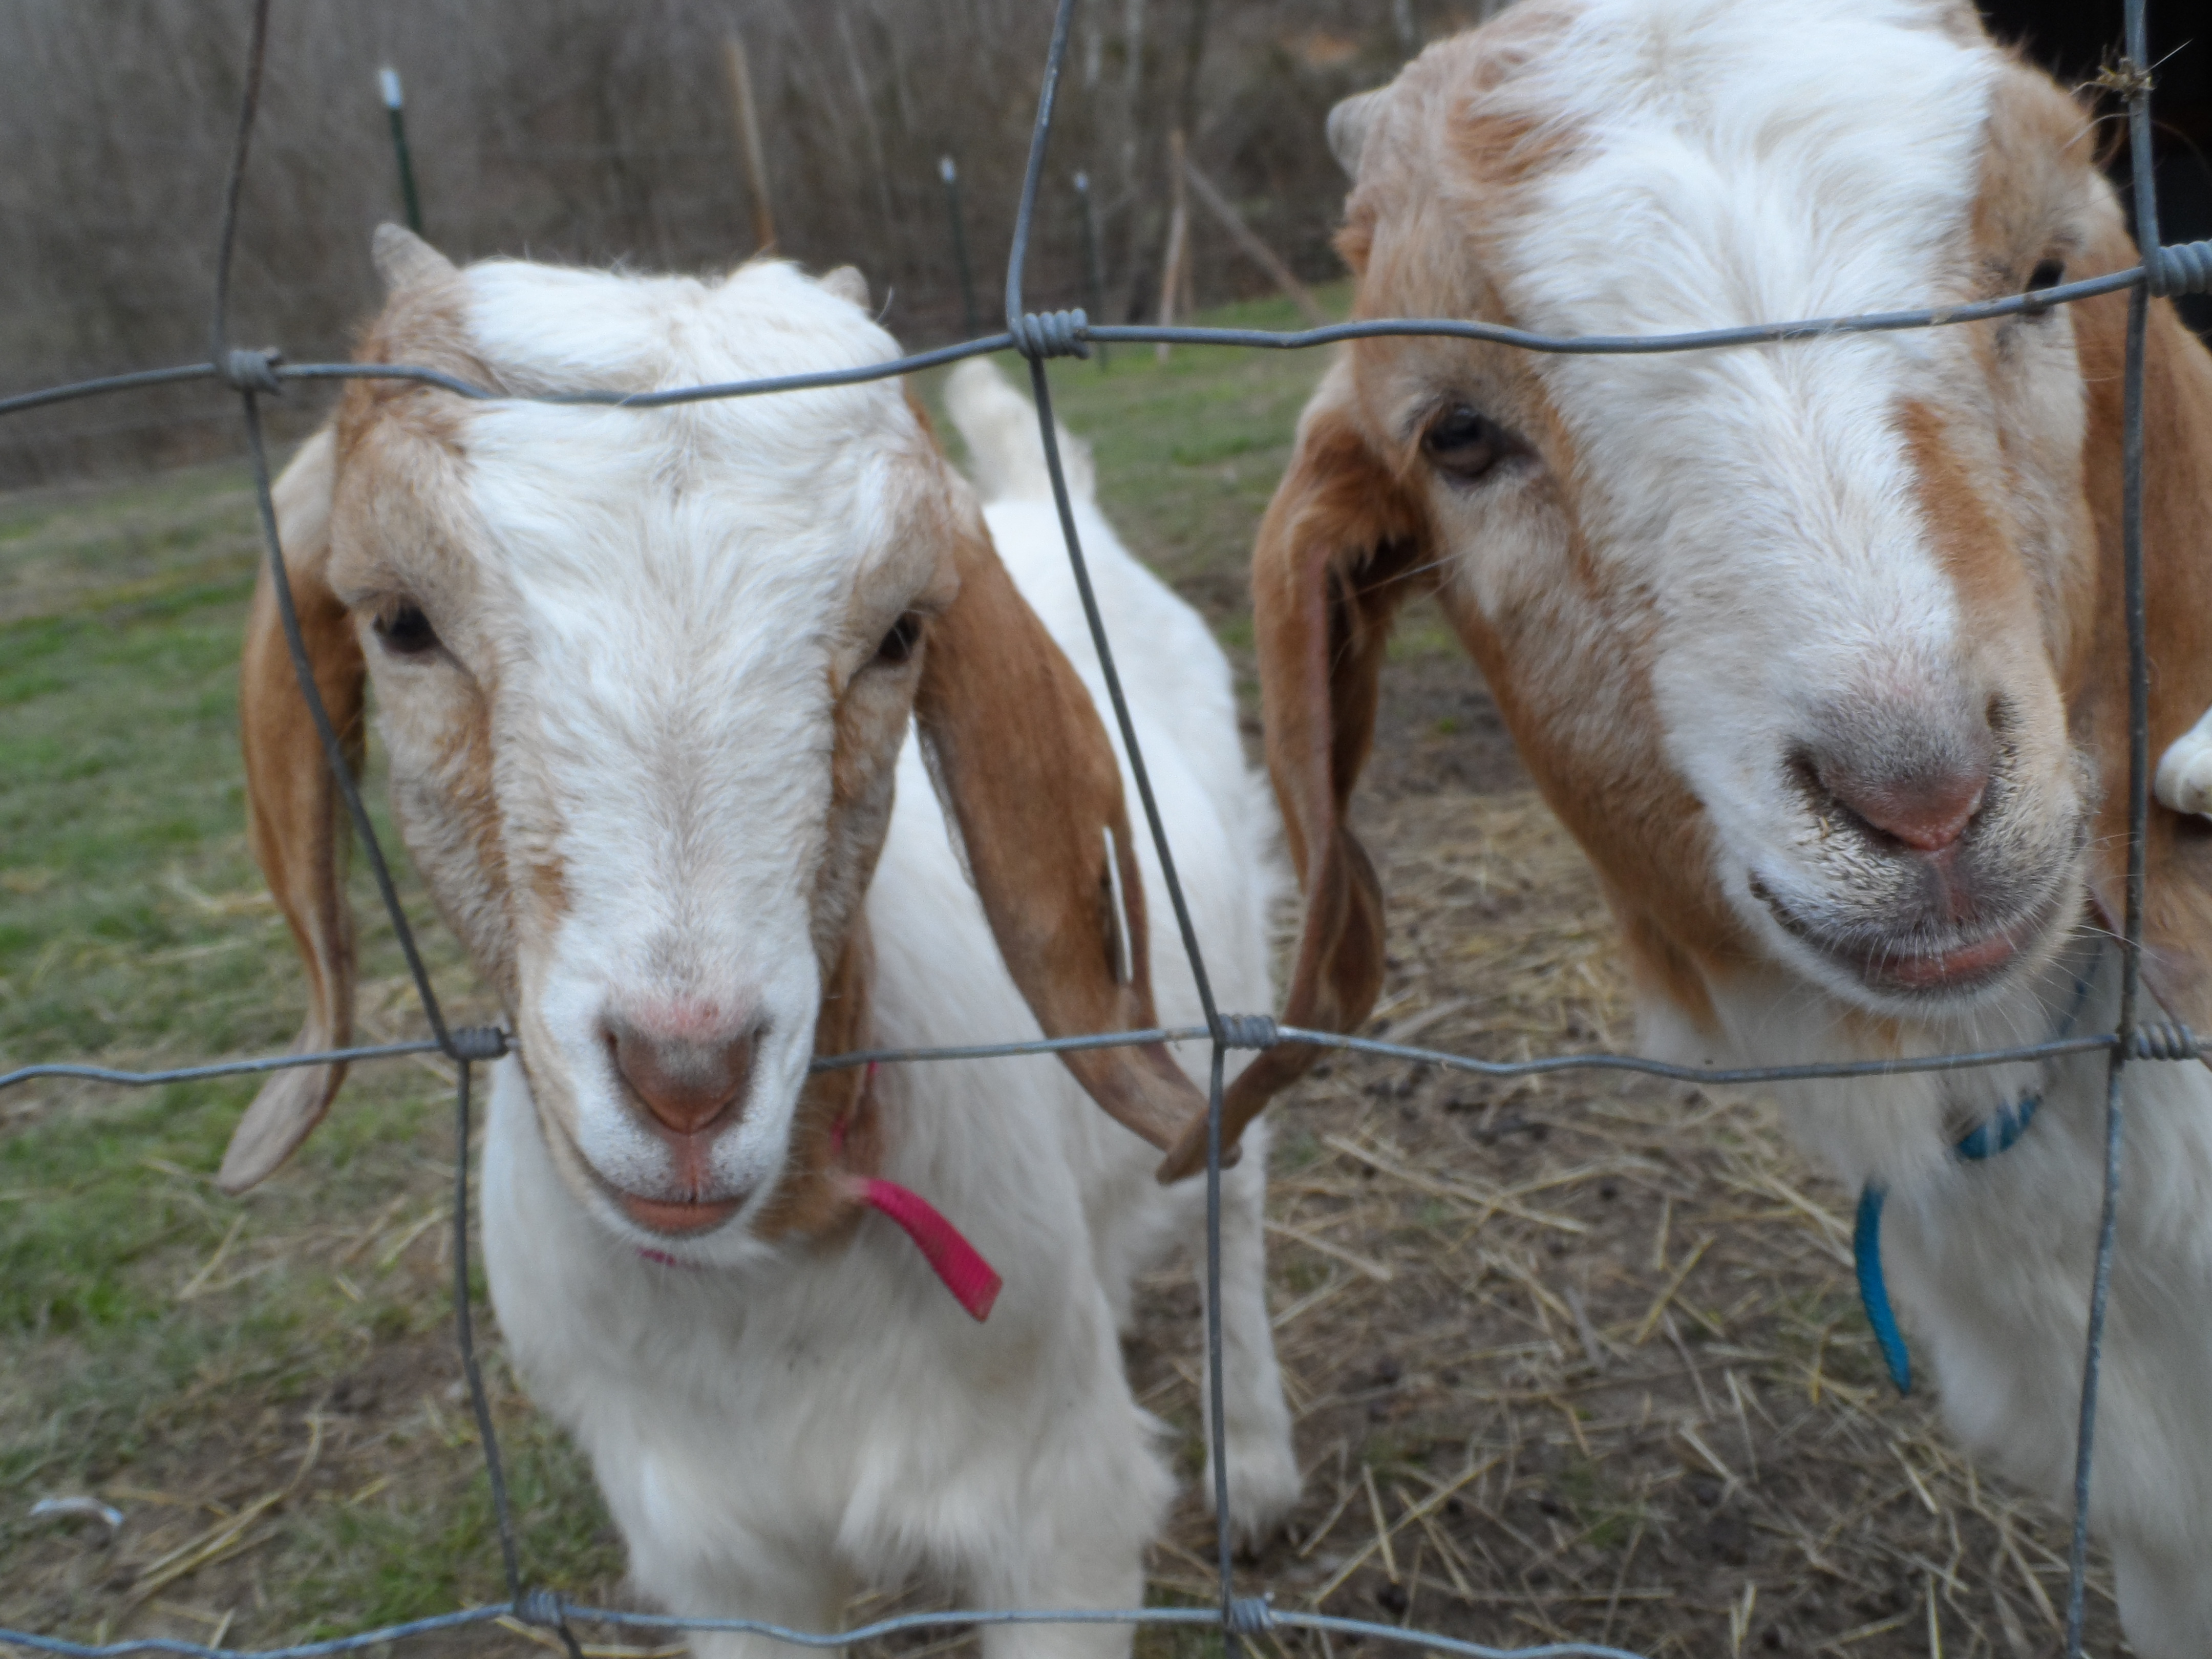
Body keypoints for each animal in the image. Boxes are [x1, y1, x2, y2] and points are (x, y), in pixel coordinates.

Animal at [221, 230, 1300, 1656]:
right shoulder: (719, 1559)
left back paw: (1260, 1471)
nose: (687, 1078)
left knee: (1235, 1210)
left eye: (902, 631)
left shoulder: (1056, 1522)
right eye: (400, 620)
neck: (773, 1276)